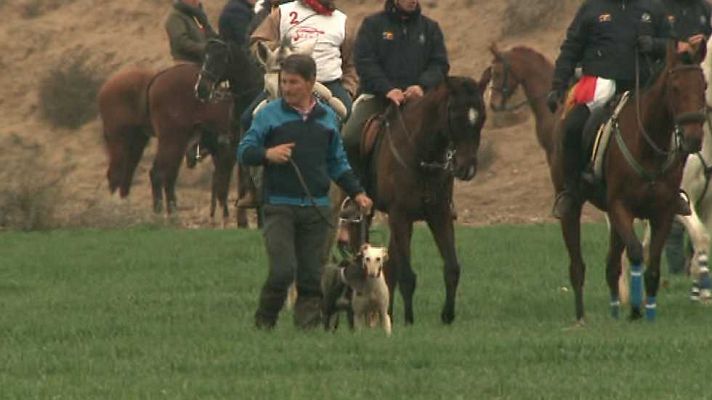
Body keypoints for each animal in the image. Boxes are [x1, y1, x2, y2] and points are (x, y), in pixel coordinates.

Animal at [354, 76, 486, 324]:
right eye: (456, 116)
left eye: (482, 117)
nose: (467, 169)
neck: (422, 155)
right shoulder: (400, 217)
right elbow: (407, 276)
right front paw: (409, 320)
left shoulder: (439, 214)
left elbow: (452, 268)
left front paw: (447, 315)